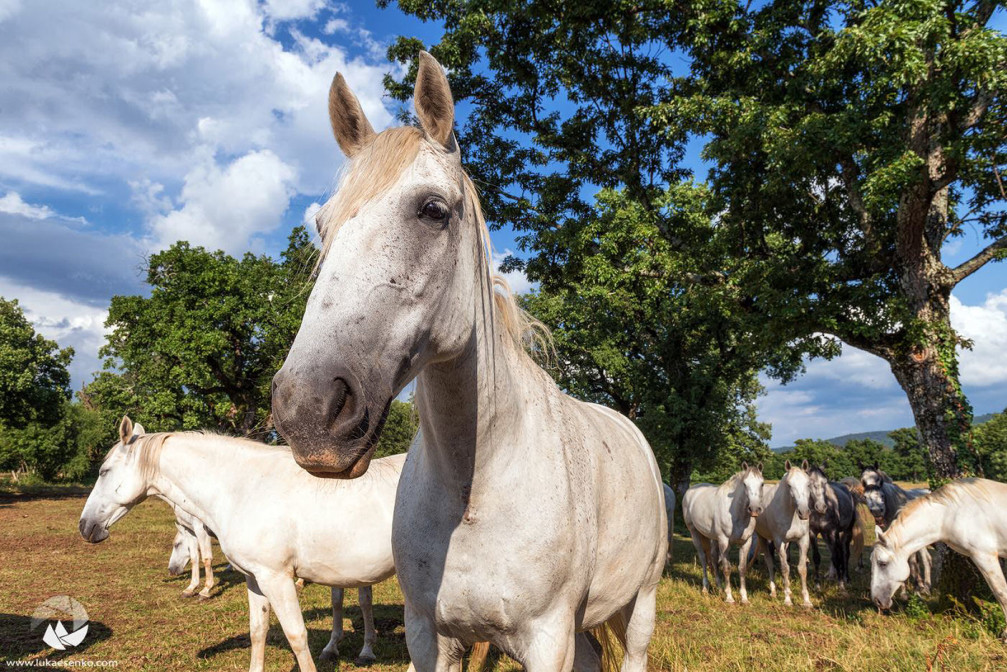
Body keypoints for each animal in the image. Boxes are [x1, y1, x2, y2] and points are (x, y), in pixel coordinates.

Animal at [78, 417, 402, 668]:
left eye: (104, 472)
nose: (85, 526)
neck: (244, 489)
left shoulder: (277, 579)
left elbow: (297, 637)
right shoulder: (255, 579)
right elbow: (258, 631)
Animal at [757, 457, 817, 608]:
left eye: (808, 484)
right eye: (789, 485)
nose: (804, 512)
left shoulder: (803, 540)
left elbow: (802, 569)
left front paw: (806, 601)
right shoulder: (779, 541)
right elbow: (785, 568)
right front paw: (787, 600)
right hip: (762, 537)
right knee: (769, 562)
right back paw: (773, 592)